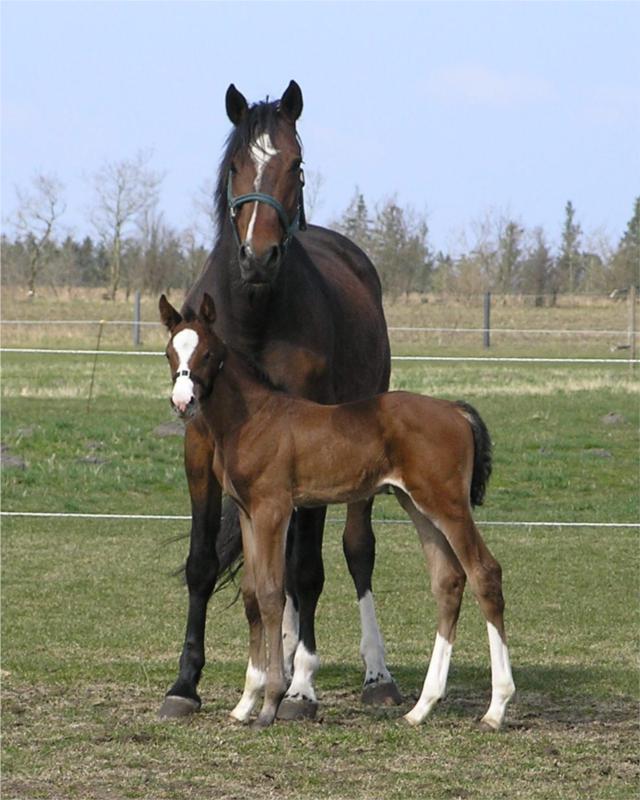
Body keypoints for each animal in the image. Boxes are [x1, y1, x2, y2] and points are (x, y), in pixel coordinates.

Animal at [160, 296, 516, 732]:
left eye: (208, 353)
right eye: (170, 353)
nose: (183, 402)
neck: (255, 418)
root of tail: (455, 409)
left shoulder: (273, 509)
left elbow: (272, 594)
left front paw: (271, 703)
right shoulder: (247, 512)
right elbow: (251, 594)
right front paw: (245, 703)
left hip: (448, 504)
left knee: (484, 573)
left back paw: (496, 709)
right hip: (416, 505)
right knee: (448, 582)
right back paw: (421, 708)